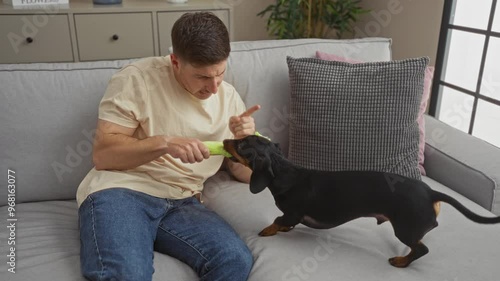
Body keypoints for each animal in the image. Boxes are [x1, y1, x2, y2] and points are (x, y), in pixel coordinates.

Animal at [224, 135, 500, 266]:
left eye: (242, 143)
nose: (226, 139)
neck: (285, 172)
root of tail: (431, 192)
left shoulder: (292, 213)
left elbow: (278, 219)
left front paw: (269, 230)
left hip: (404, 229)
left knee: (421, 249)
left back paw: (400, 261)